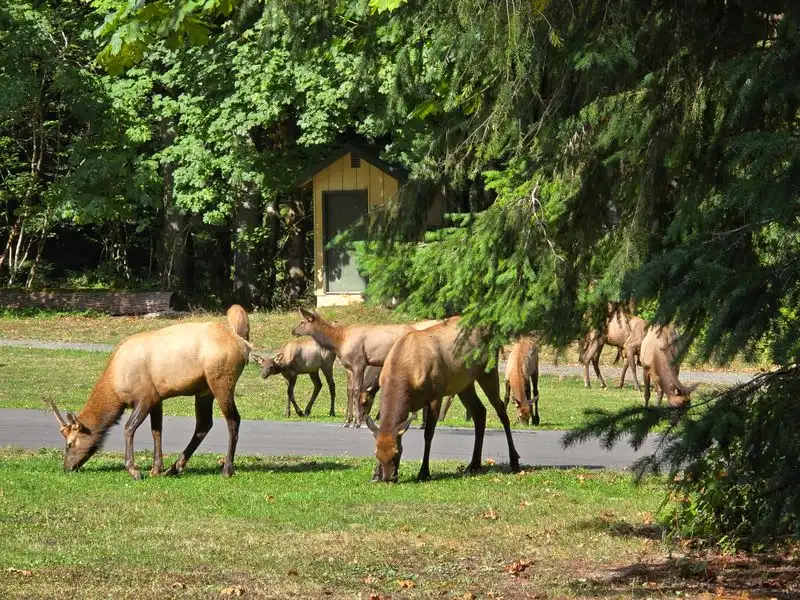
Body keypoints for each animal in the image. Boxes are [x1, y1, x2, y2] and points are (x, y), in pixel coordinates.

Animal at [44, 305, 253, 480]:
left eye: (69, 444)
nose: (67, 467)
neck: (115, 389)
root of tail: (243, 342)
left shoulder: (145, 397)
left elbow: (129, 428)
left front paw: (134, 470)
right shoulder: (156, 398)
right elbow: (156, 431)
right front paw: (156, 468)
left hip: (221, 381)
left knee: (233, 420)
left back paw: (227, 469)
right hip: (204, 390)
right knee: (204, 424)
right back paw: (174, 468)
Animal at [291, 308, 443, 427]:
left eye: (303, 321)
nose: (293, 331)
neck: (339, 342)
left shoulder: (359, 363)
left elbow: (357, 390)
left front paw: (357, 422)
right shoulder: (348, 367)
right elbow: (349, 391)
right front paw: (347, 421)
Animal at [365, 316, 522, 483]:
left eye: (397, 452)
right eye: (376, 453)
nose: (388, 478)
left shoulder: (435, 396)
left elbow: (428, 434)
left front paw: (424, 472)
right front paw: (375, 475)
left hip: (488, 371)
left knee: (501, 411)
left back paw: (514, 461)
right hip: (464, 384)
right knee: (480, 412)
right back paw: (474, 464)